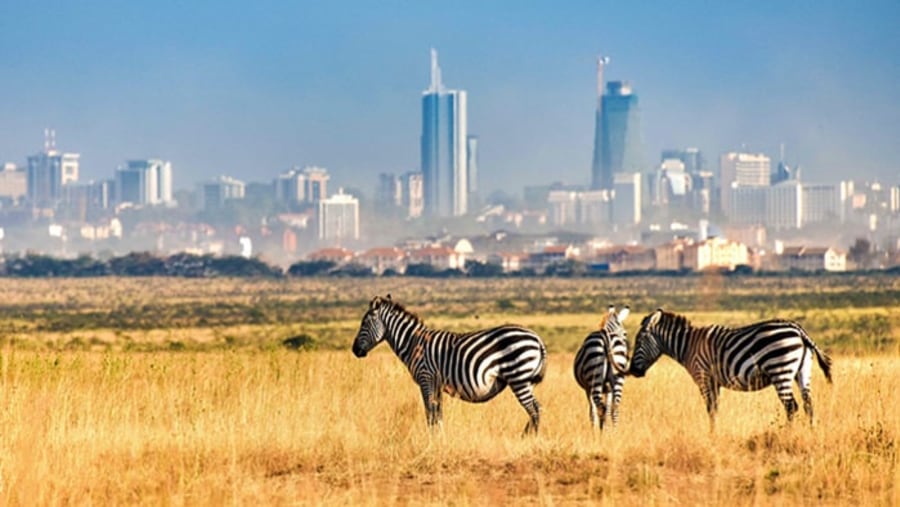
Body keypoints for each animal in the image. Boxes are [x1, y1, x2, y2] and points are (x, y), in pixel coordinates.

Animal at [352, 296, 548, 434]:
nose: (354, 350)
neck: (413, 342)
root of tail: (537, 339)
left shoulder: (426, 378)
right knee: (536, 409)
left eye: (364, 324)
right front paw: (440, 438)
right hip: (526, 380)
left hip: (518, 377)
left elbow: (430, 412)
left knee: (534, 409)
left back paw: (529, 439)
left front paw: (432, 440)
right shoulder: (436, 383)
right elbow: (438, 414)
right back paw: (526, 436)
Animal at [624, 310, 828, 428]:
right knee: (808, 405)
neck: (688, 346)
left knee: (791, 407)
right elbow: (715, 409)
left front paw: (712, 436)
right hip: (802, 372)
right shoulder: (714, 382)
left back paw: (787, 435)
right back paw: (810, 434)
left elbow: (710, 409)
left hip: (780, 370)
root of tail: (798, 330)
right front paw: (715, 434)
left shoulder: (703, 377)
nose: (632, 371)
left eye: (638, 341)